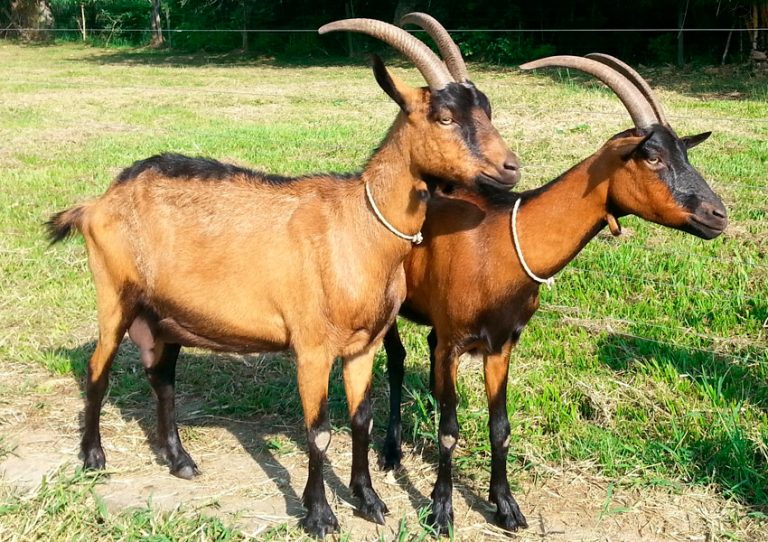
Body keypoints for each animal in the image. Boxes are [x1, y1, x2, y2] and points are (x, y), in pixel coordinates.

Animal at [45, 17, 520, 540]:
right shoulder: (311, 347)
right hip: (114, 295)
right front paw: (319, 515)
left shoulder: (362, 345)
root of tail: (97, 203)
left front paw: (370, 500)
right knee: (98, 369)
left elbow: (361, 419)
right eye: (445, 118)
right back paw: (93, 458)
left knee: (161, 376)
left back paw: (180, 460)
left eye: (487, 110)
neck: (358, 225)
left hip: (163, 314)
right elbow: (319, 431)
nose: (510, 168)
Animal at [382, 55, 728, 536]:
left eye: (685, 153)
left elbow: (500, 427)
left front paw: (506, 506)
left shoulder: (501, 343)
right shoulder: (454, 342)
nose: (719, 215)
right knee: (395, 360)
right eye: (653, 157)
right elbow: (449, 430)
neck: (502, 242)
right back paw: (390, 449)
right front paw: (441, 511)